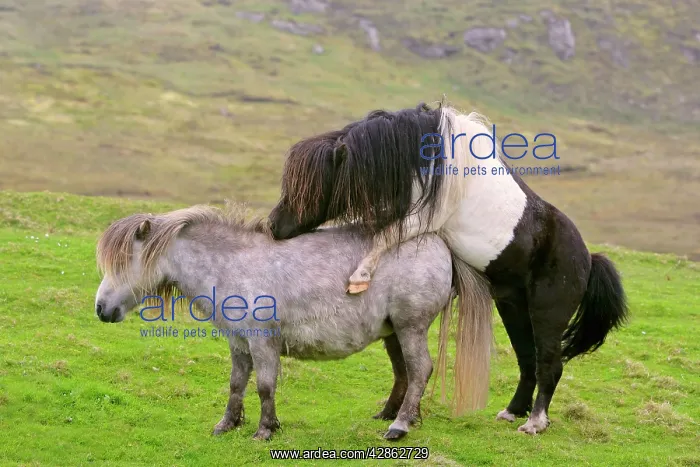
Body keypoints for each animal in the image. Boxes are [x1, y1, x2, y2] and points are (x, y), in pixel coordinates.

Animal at [93, 205, 493, 440]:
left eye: (124, 261)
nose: (100, 309)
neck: (233, 266)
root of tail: (439, 242)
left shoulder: (262, 342)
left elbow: (265, 386)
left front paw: (265, 430)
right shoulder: (238, 344)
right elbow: (236, 384)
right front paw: (227, 424)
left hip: (411, 327)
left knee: (420, 369)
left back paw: (400, 426)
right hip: (393, 331)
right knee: (405, 373)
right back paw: (392, 415)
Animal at [267, 102, 630, 435]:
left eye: (310, 188)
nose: (273, 226)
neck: (427, 160)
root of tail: (588, 258)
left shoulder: (426, 218)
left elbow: (385, 235)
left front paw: (359, 278)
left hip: (547, 314)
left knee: (550, 364)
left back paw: (536, 422)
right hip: (513, 307)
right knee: (528, 361)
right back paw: (513, 411)